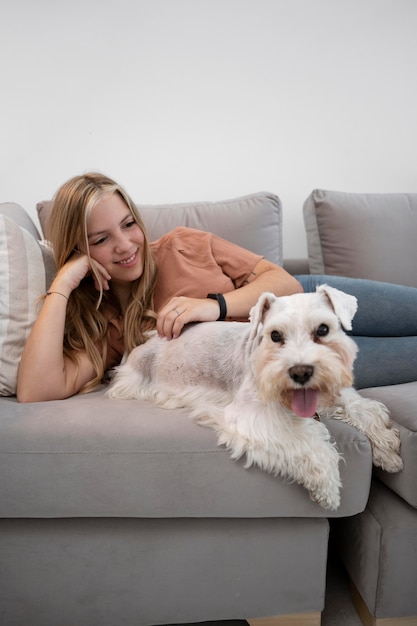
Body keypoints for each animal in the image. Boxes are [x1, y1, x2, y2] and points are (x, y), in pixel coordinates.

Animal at [108, 286, 404, 510]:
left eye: (322, 330)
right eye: (275, 335)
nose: (301, 372)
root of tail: (149, 339)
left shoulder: (333, 395)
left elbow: (363, 409)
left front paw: (387, 448)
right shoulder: (253, 416)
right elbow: (308, 440)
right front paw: (328, 487)